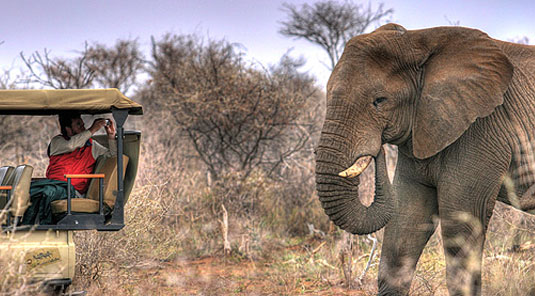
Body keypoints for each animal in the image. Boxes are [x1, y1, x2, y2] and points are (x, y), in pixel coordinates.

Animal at [314, 23, 535, 296]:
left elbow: (459, 230)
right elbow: (404, 227)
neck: (419, 39)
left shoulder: (483, 129)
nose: (377, 151)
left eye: (379, 101)